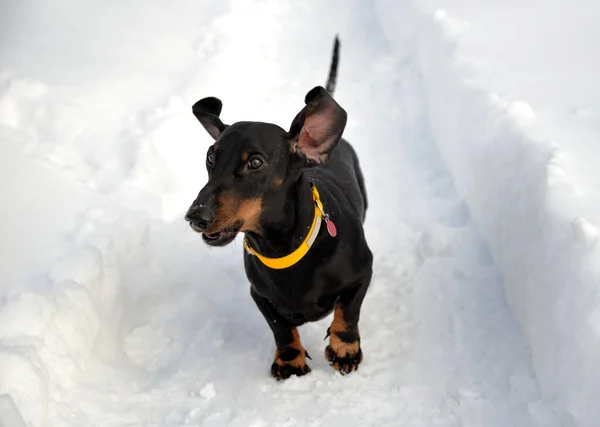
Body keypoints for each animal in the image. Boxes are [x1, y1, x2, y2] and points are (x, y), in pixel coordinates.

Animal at [185, 39, 372, 382]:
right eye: (210, 156)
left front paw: (345, 348)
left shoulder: (364, 272)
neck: (285, 249)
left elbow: (348, 311)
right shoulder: (259, 295)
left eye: (255, 162)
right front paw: (289, 359)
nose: (195, 217)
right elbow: (280, 328)